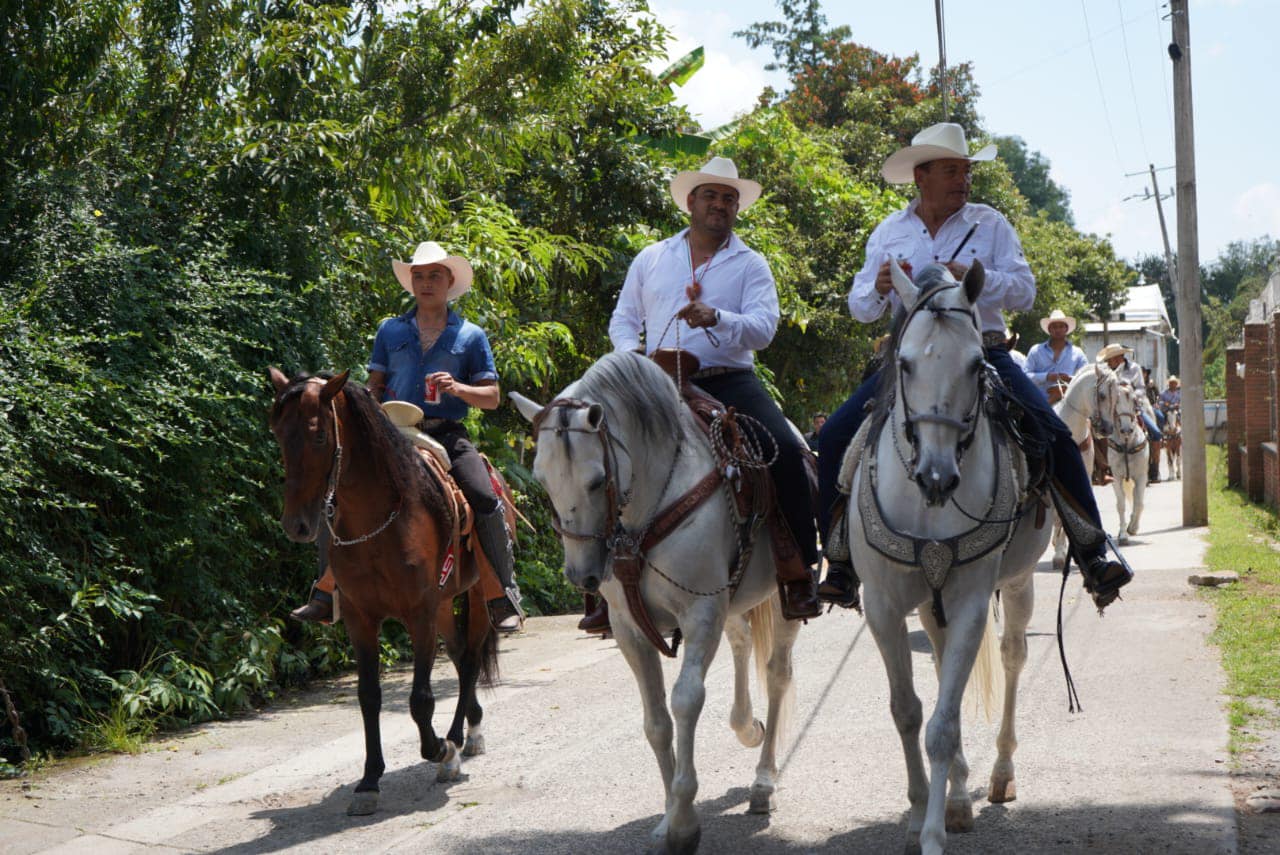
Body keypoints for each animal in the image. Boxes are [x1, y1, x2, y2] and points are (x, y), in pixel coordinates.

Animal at [267, 371, 496, 819]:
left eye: (319, 436)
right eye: (279, 434)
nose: (296, 524)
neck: (378, 520)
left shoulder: (419, 612)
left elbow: (420, 698)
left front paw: (439, 749)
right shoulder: (361, 618)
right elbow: (369, 696)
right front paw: (369, 781)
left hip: (474, 596)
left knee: (471, 659)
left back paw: (462, 739)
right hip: (445, 604)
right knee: (461, 655)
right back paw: (464, 735)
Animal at [512, 348, 798, 855]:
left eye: (597, 480)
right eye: (543, 480)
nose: (582, 575)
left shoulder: (700, 613)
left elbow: (685, 701)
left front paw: (684, 823)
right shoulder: (631, 629)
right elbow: (657, 722)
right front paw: (669, 821)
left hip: (784, 601)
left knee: (778, 675)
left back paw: (764, 782)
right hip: (733, 602)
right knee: (743, 642)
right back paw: (746, 726)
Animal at [849, 261, 1049, 855]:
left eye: (977, 364)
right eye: (905, 363)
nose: (936, 477)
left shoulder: (970, 602)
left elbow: (942, 725)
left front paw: (934, 833)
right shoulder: (883, 606)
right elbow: (909, 711)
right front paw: (920, 812)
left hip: (1019, 582)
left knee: (1011, 657)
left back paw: (998, 776)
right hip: (927, 604)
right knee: (939, 673)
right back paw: (959, 796)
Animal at [1105, 381, 1157, 540]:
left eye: (1134, 401)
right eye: (1115, 401)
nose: (1127, 429)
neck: (1127, 444)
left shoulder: (1141, 476)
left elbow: (1139, 503)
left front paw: (1133, 528)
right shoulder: (1115, 477)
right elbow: (1121, 503)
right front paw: (1123, 534)